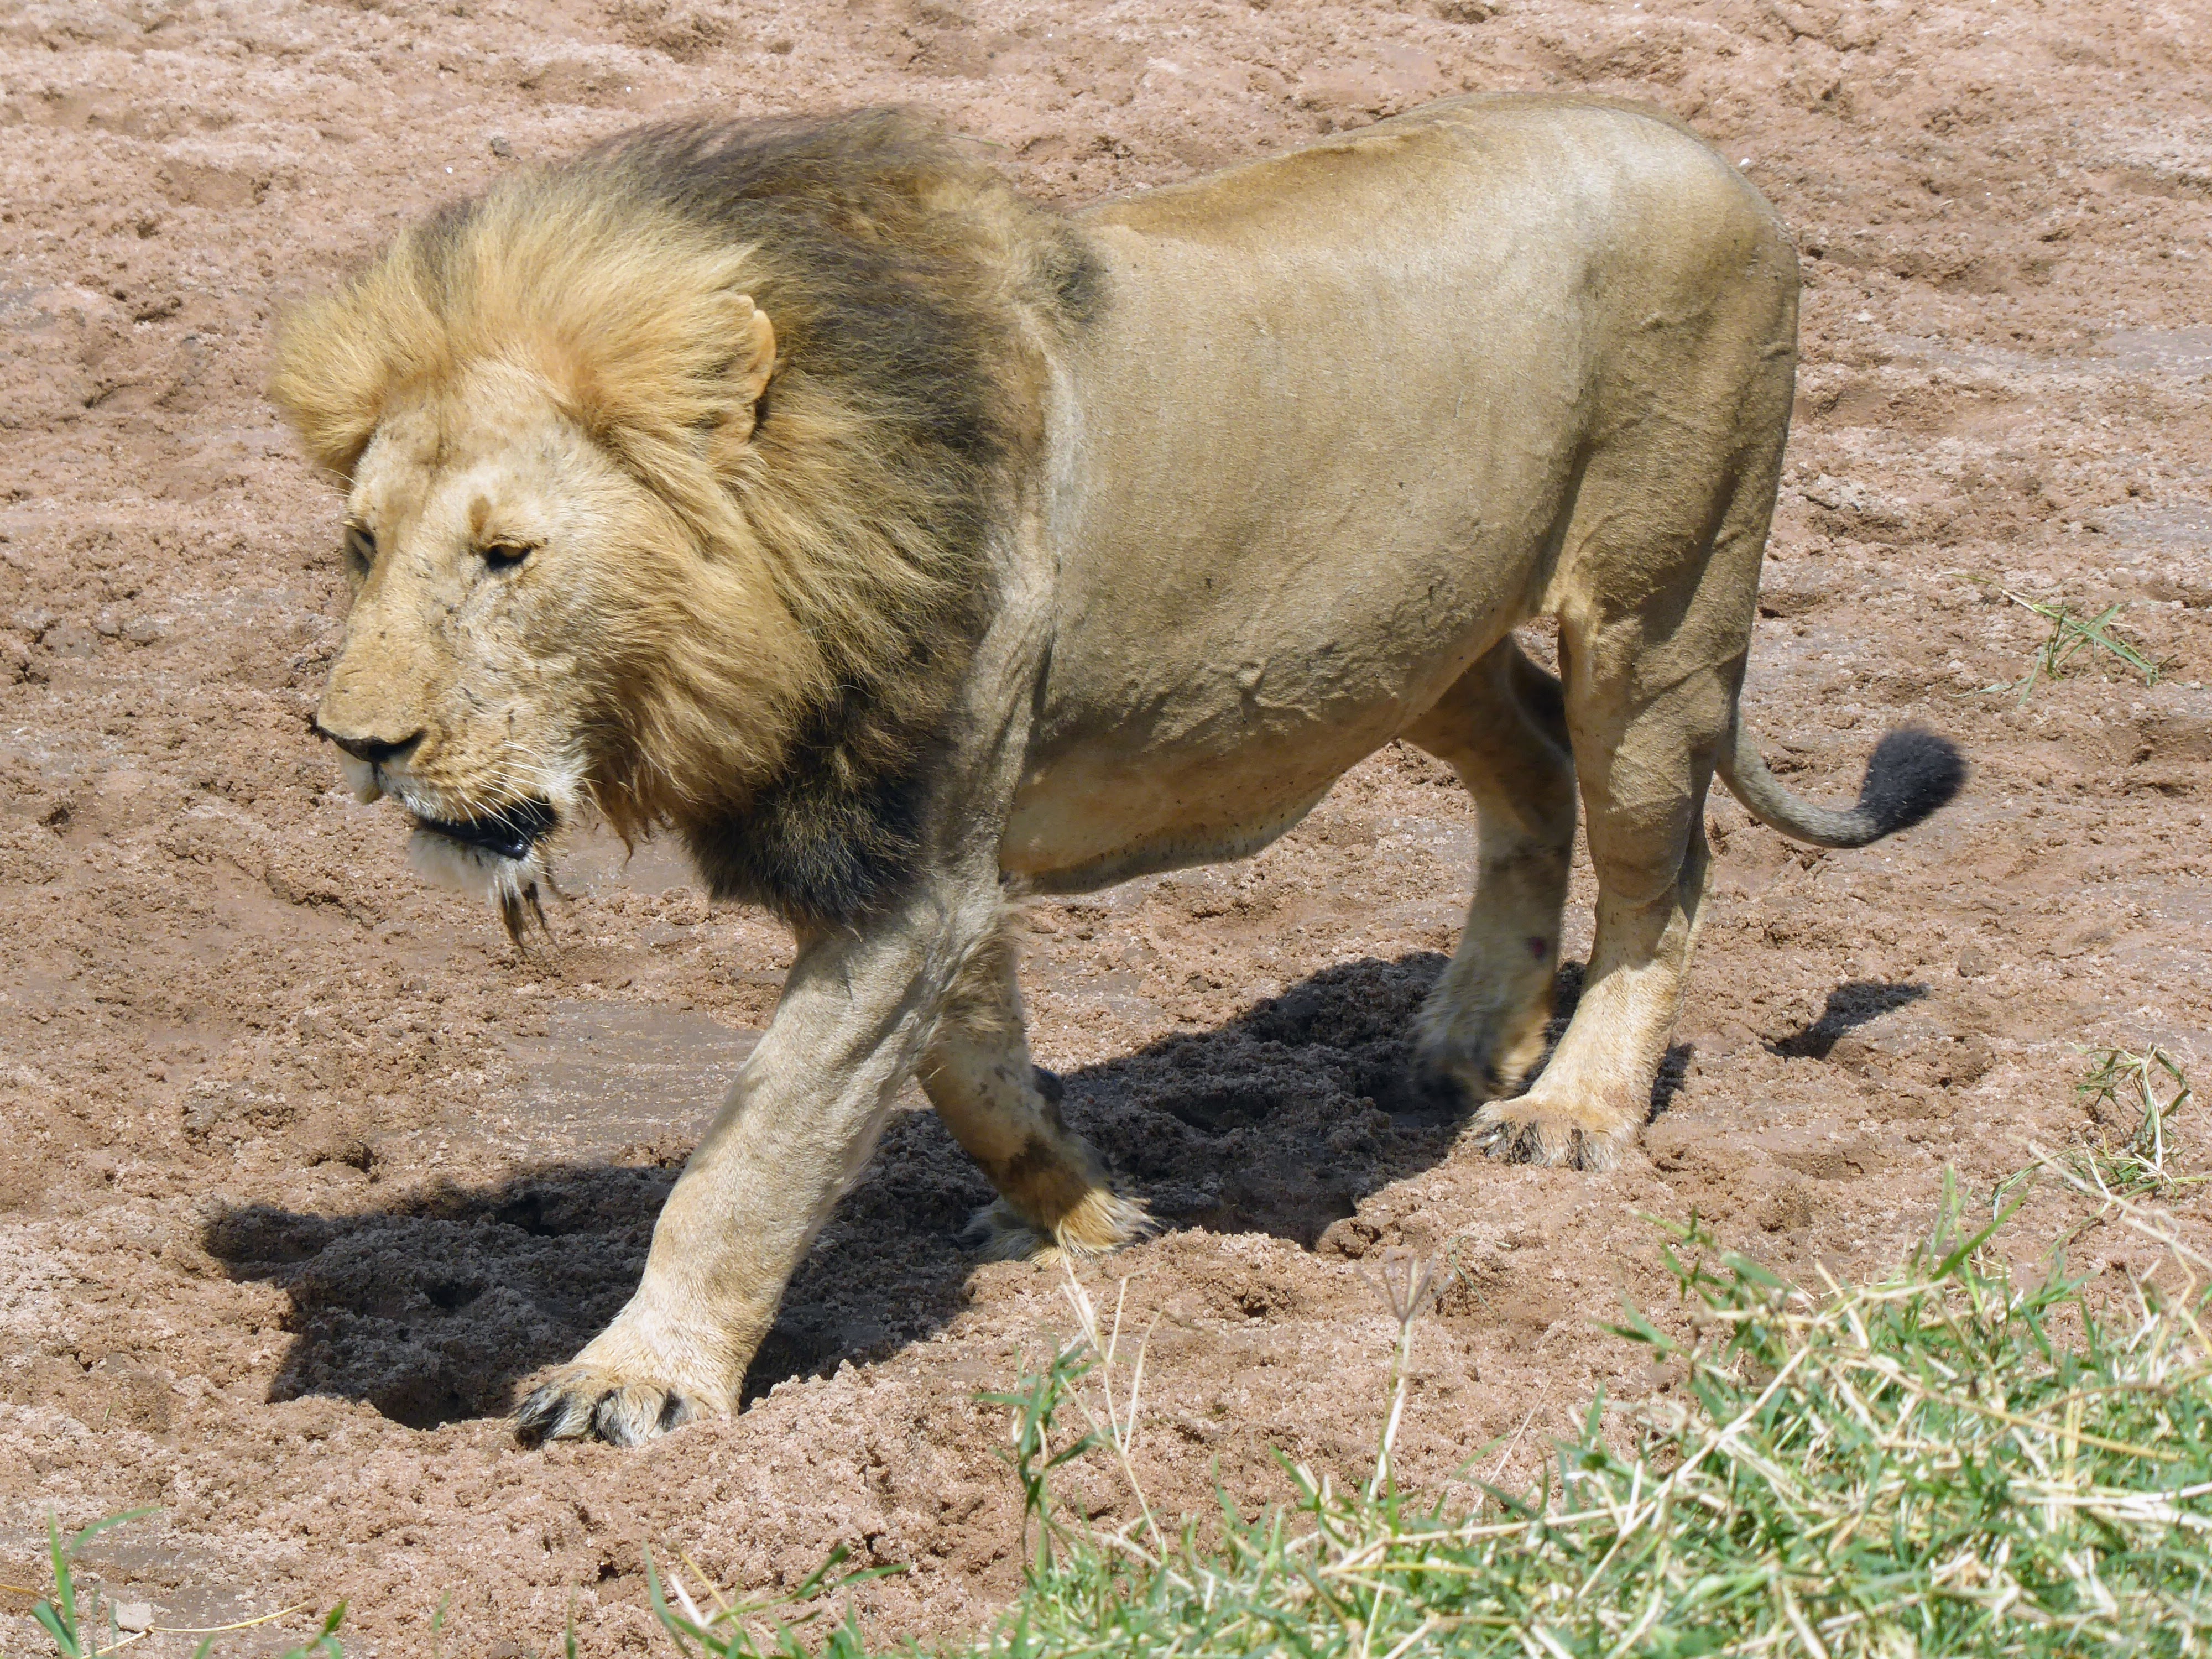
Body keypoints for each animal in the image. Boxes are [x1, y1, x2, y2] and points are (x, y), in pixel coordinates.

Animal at [263, 97, 1973, 1442]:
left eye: (507, 555)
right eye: (360, 544)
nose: (359, 745)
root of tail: (1713, 158)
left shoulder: (912, 873)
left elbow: (753, 1152)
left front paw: (638, 1379)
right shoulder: (935, 864)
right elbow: (975, 1076)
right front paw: (1097, 1227)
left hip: (1657, 612)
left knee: (1662, 861)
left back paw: (1571, 1108)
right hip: (1418, 643)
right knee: (1531, 770)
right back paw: (1465, 1042)